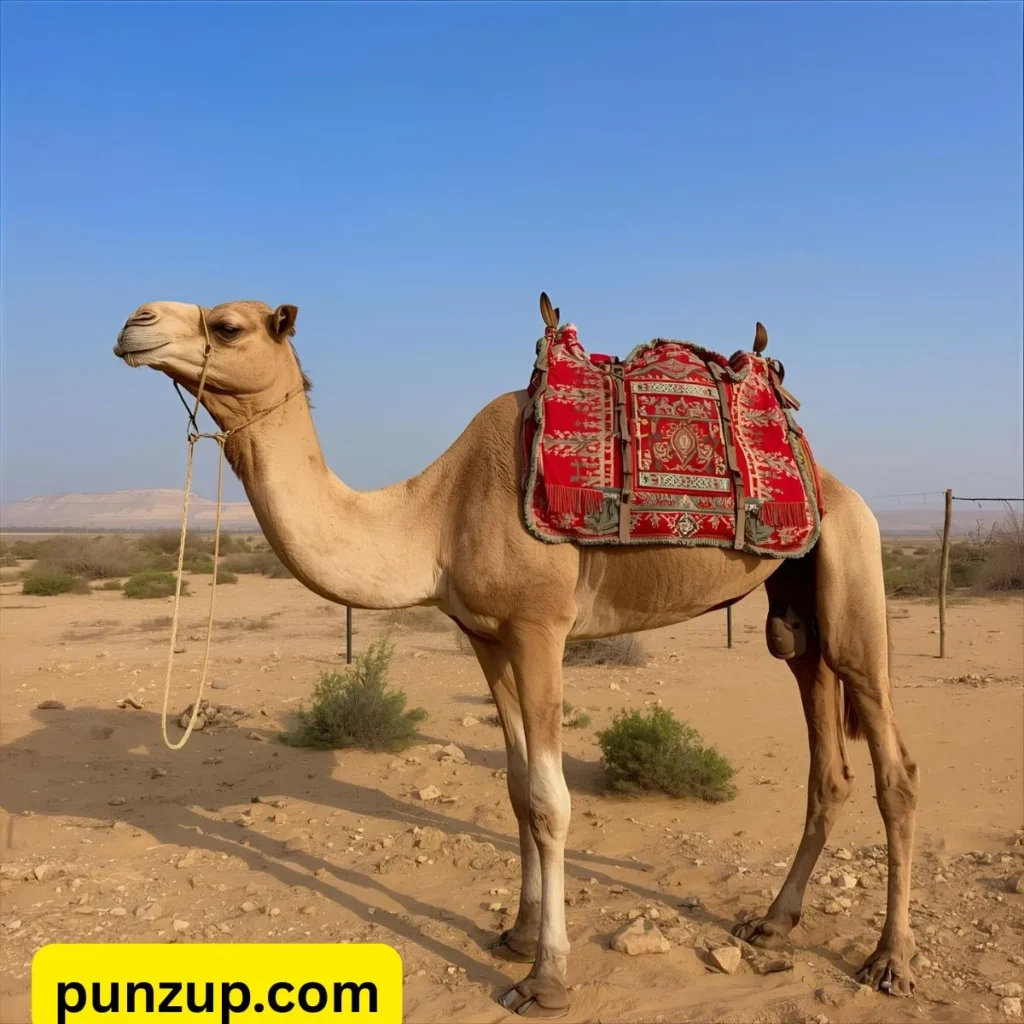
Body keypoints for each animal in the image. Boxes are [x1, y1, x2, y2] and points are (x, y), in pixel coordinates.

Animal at [113, 298, 919, 1017]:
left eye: (227, 325)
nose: (134, 322)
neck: (436, 515)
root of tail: (838, 487)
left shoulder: (539, 628)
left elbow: (551, 799)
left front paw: (546, 978)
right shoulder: (487, 637)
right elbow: (515, 787)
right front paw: (518, 934)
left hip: (853, 573)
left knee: (894, 770)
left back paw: (889, 962)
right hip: (796, 615)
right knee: (827, 761)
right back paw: (773, 921)